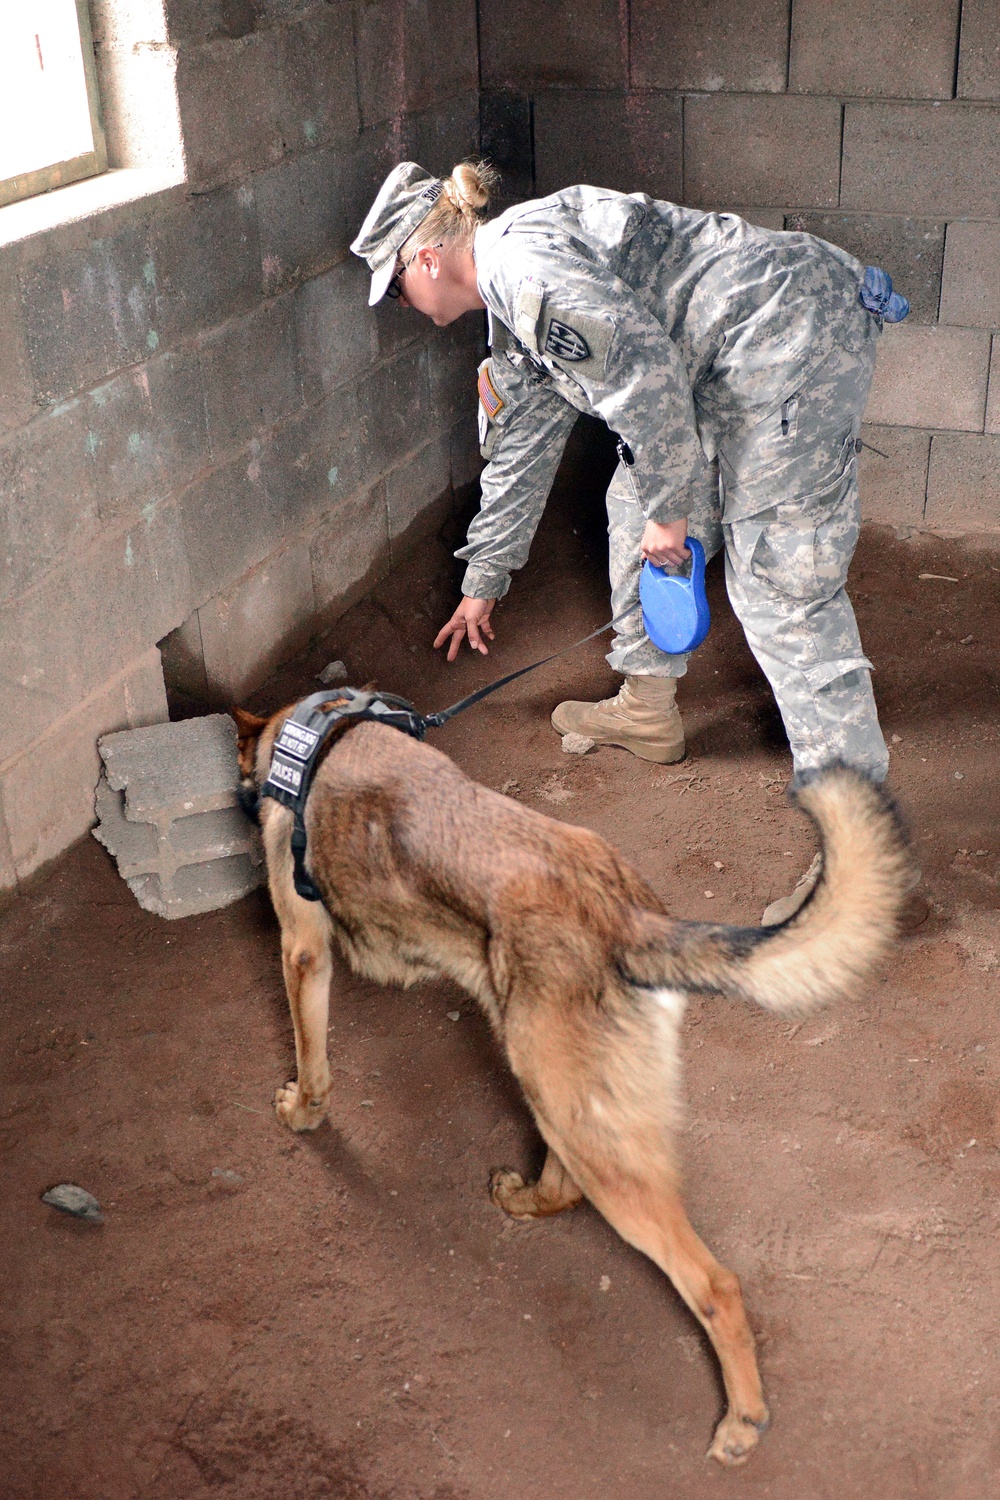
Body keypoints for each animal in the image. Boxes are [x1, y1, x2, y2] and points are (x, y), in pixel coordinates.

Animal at [232, 702, 905, 1464]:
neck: (312, 732)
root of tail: (624, 914)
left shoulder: (302, 949)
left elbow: (311, 1054)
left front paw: (302, 1110)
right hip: (559, 1094)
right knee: (564, 1188)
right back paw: (524, 1200)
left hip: (577, 1118)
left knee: (713, 1284)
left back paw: (742, 1418)